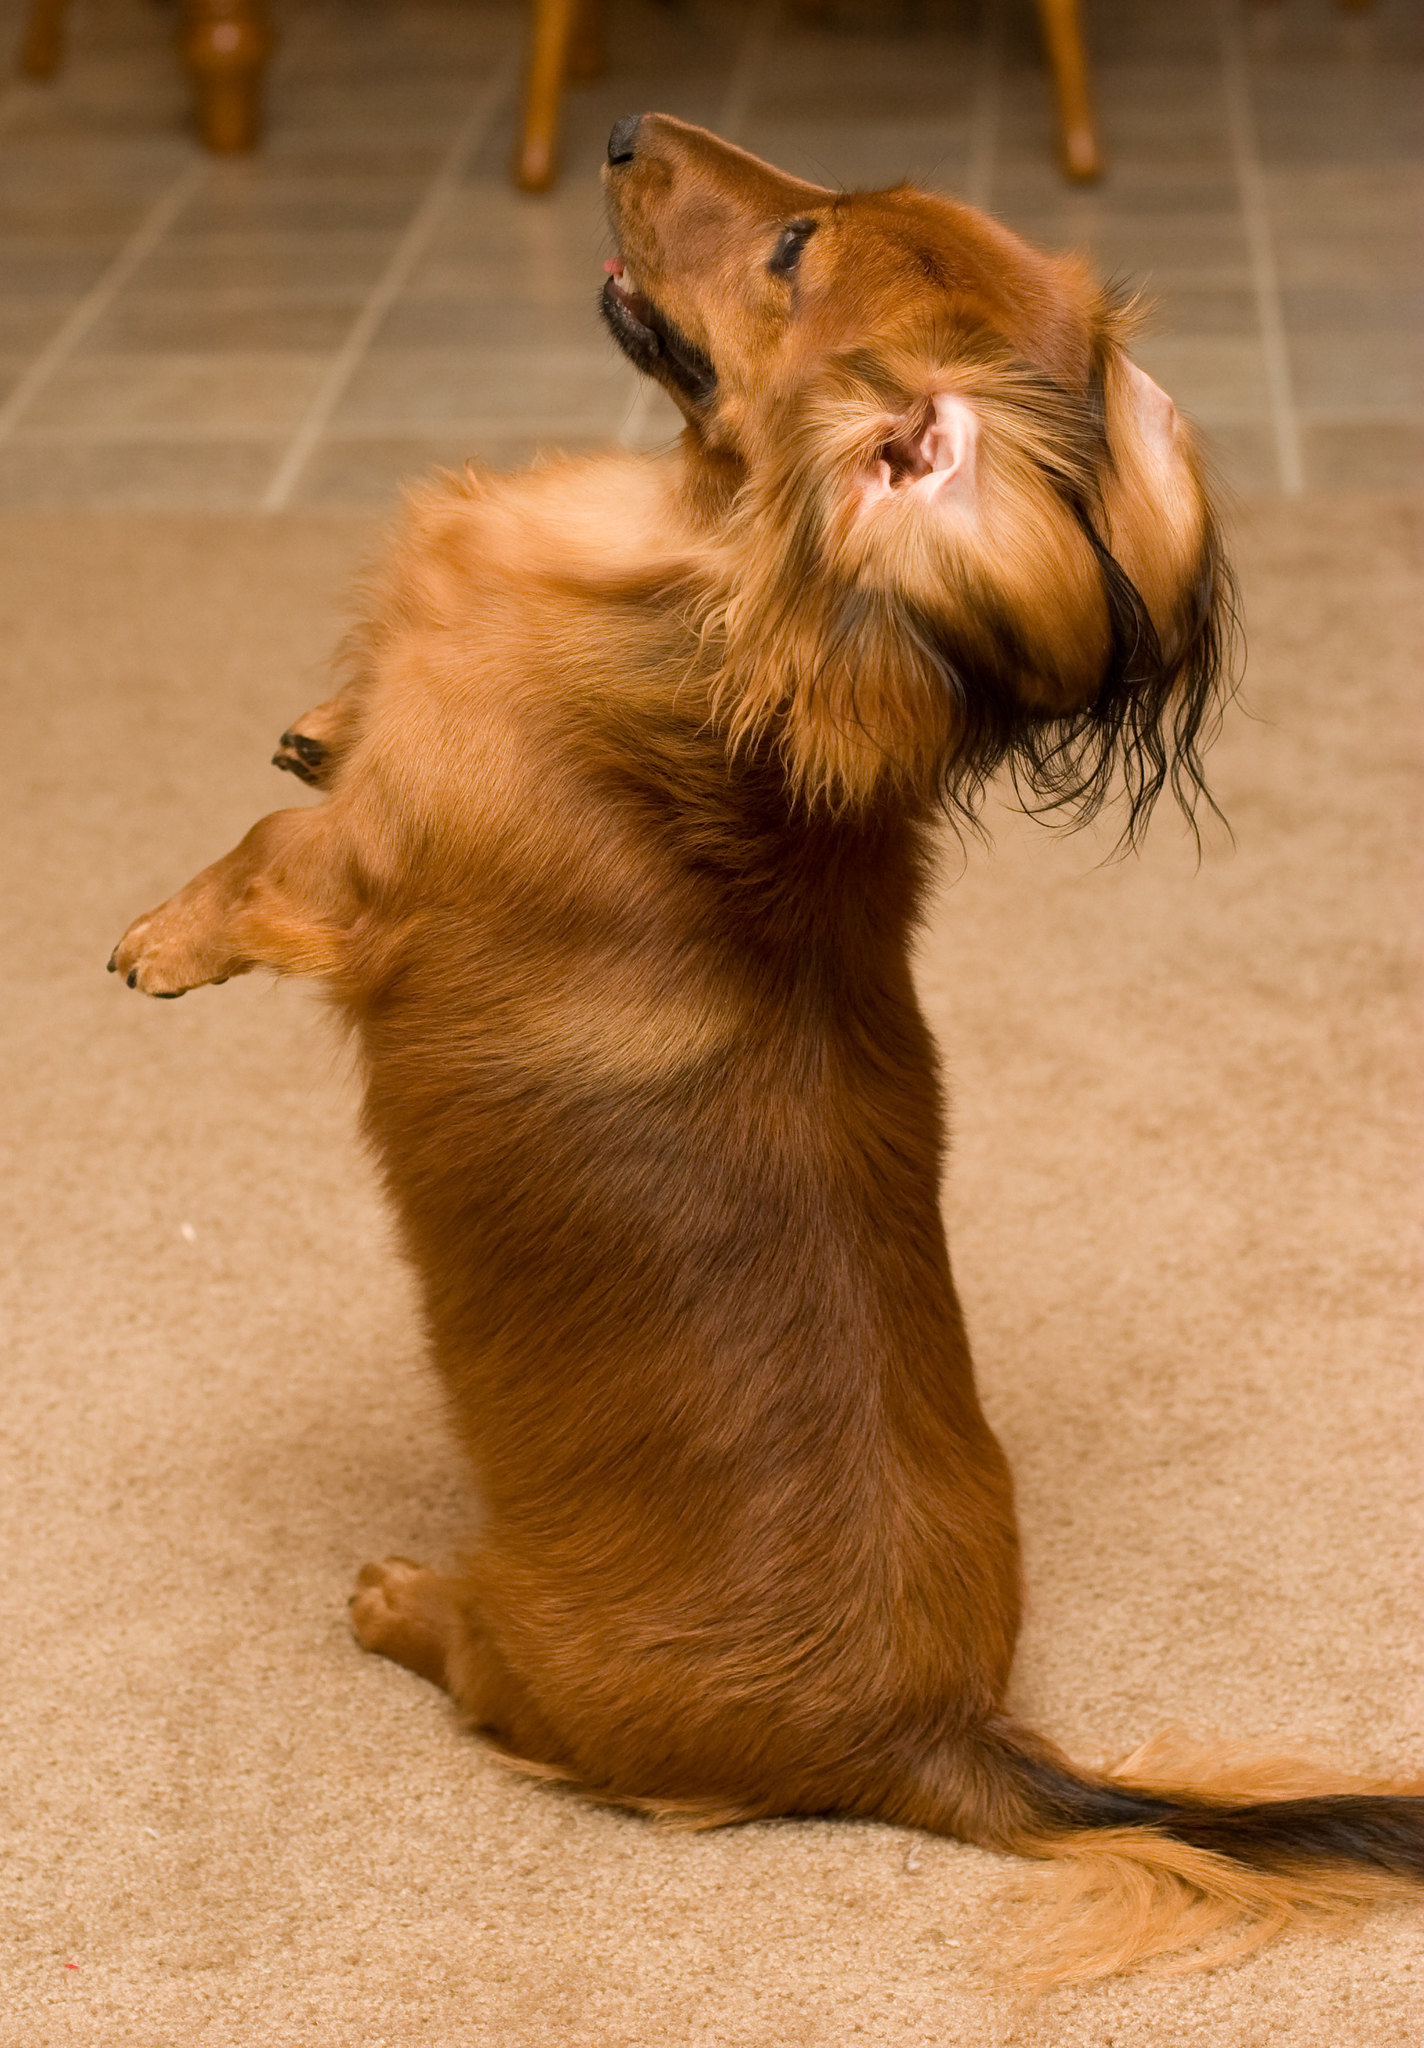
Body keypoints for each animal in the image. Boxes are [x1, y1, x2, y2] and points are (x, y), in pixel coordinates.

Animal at [114, 116, 1424, 1982]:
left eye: (796, 251)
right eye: (831, 193)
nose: (618, 127)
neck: (691, 599)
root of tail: (942, 1739)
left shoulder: (358, 874)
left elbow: (257, 852)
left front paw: (163, 938)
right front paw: (317, 717)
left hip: (529, 1660)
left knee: (475, 1673)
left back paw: (403, 1599)